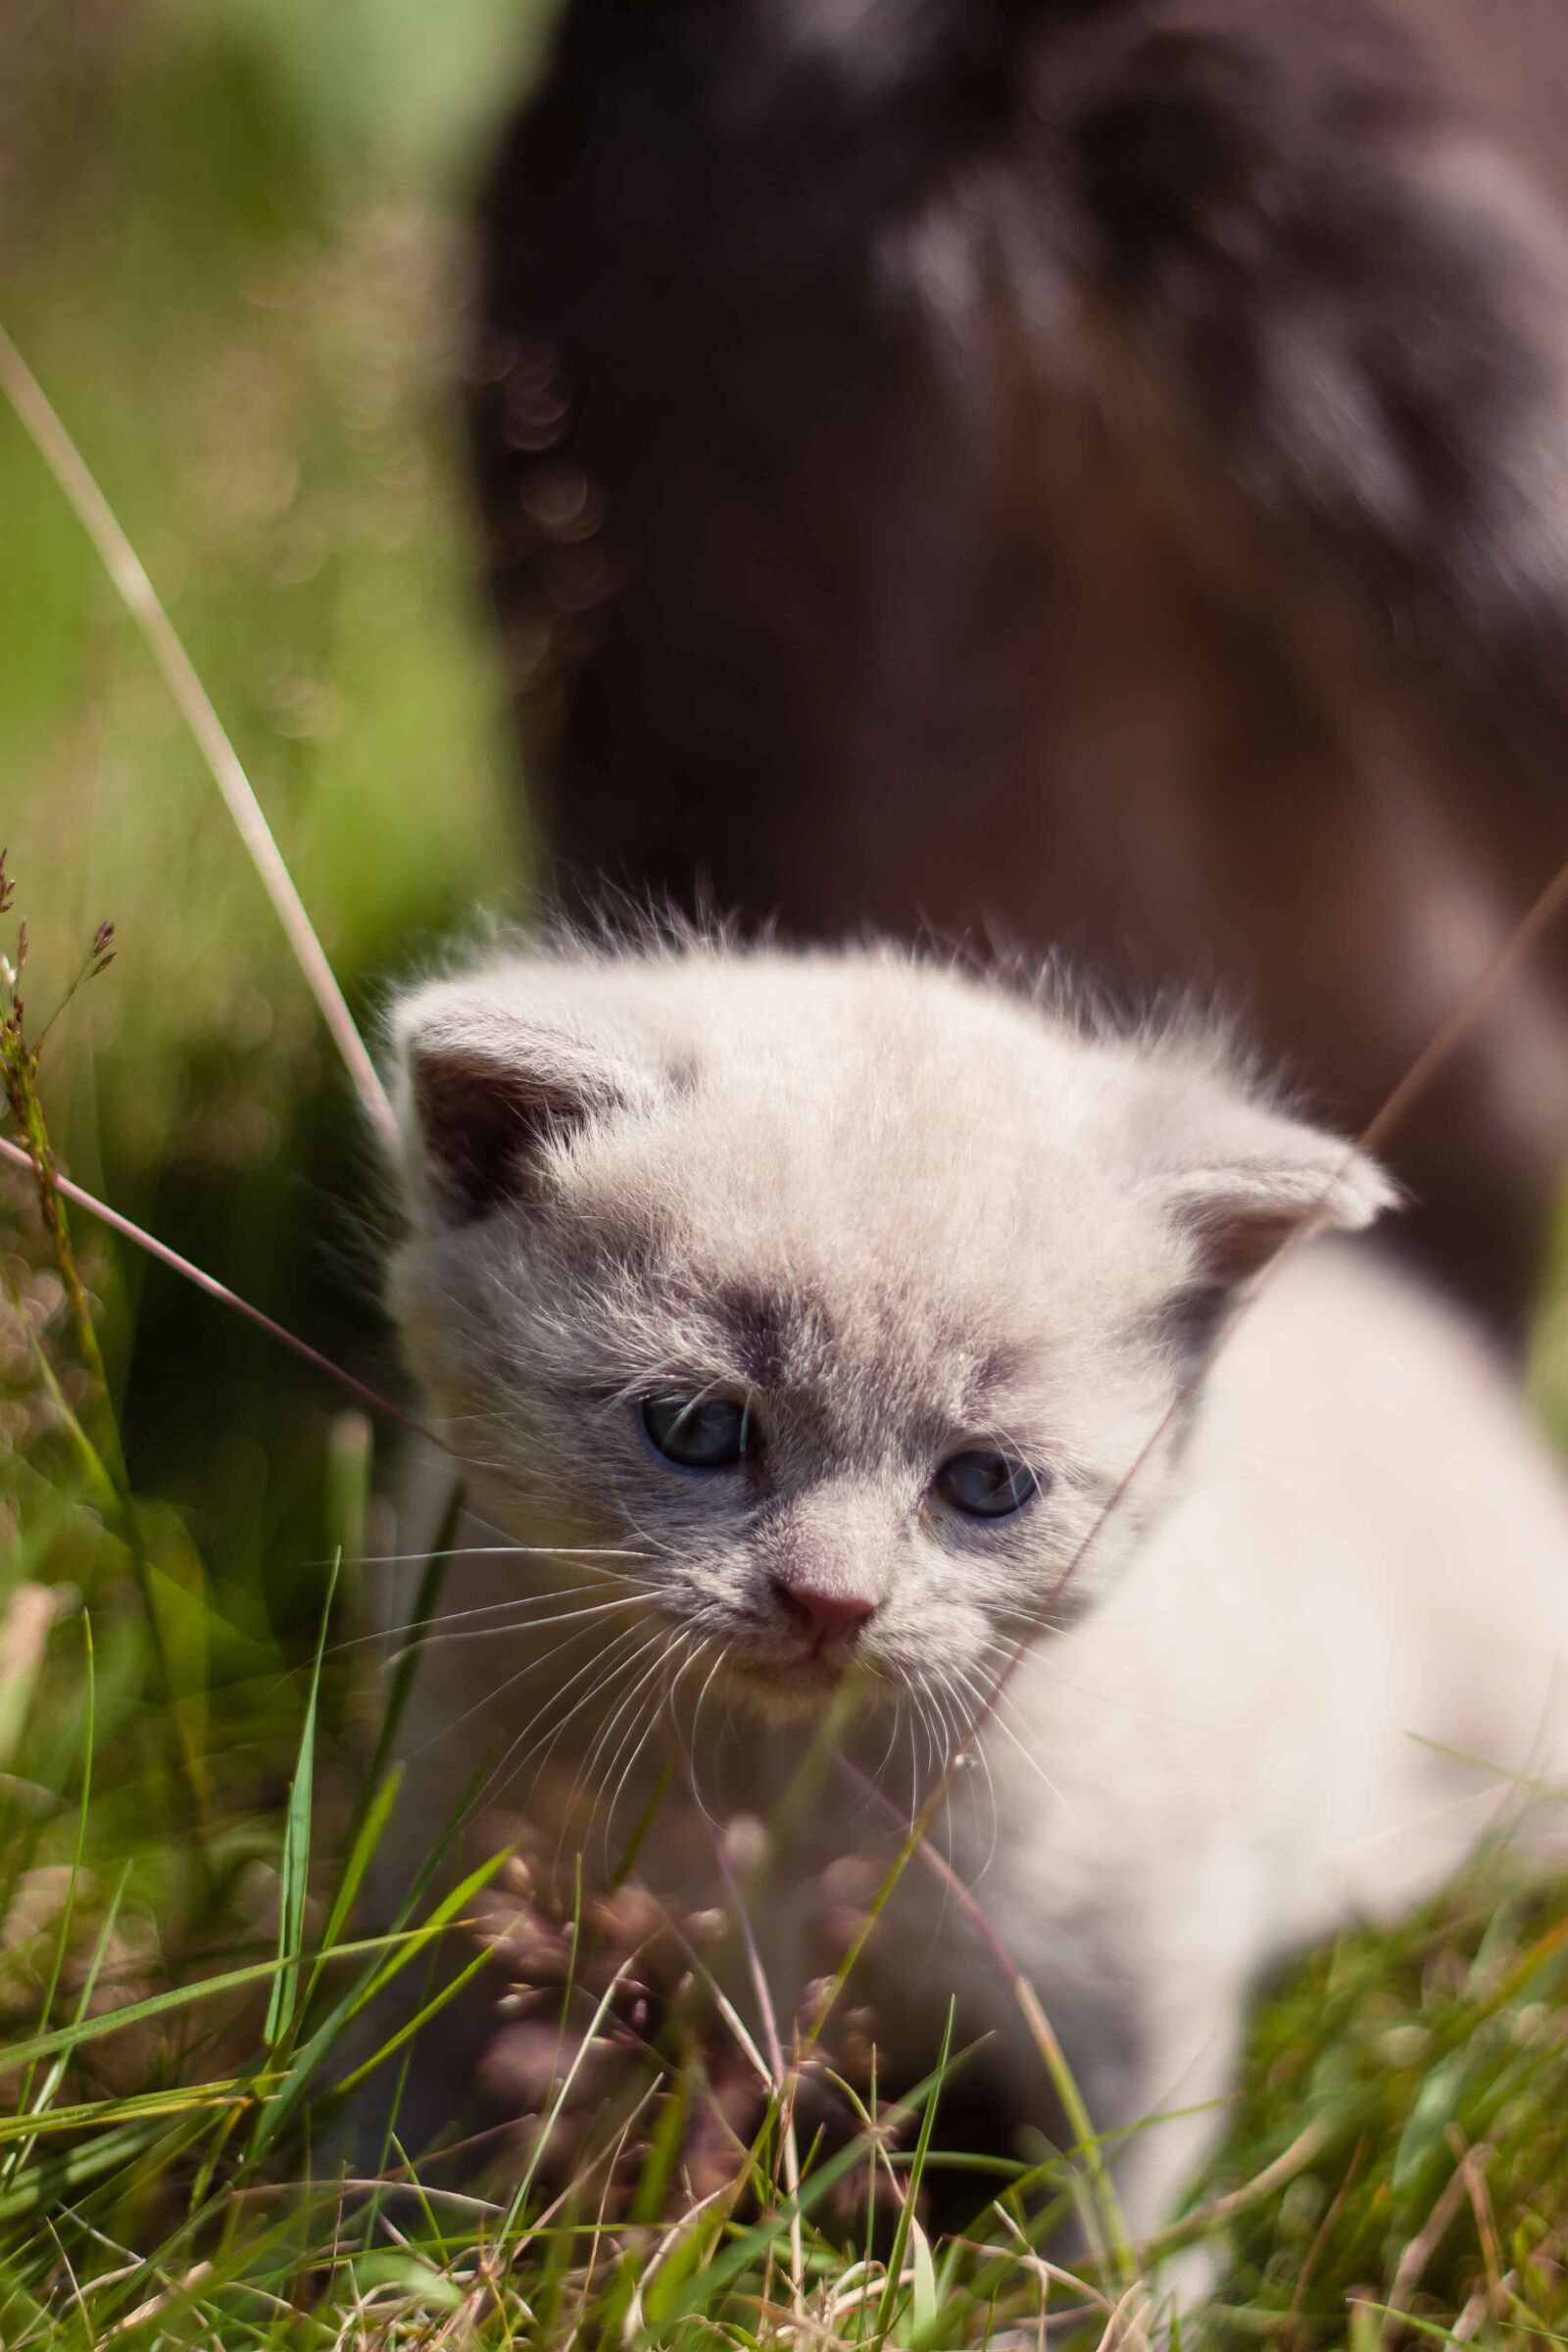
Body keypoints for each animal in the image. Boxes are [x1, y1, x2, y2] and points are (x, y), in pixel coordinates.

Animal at [375, 936, 1568, 2238]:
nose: (831, 1602)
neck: (778, 1784)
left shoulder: (1142, 1958)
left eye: (986, 1483)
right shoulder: (450, 1837)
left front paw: (1092, 2289)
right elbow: (395, 2070)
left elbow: (1126, 2192)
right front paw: (354, 2218)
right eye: (696, 1428)